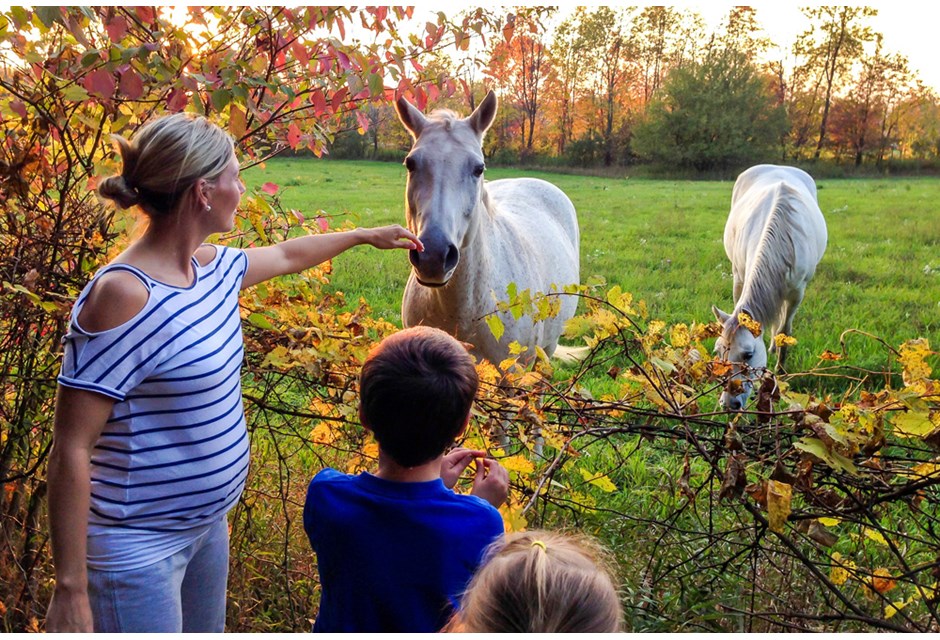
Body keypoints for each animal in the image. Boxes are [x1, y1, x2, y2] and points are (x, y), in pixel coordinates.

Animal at [716, 164, 828, 410]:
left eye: (748, 355)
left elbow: (785, 329)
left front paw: (781, 371)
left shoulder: (797, 294)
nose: (729, 404)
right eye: (718, 351)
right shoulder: (740, 276)